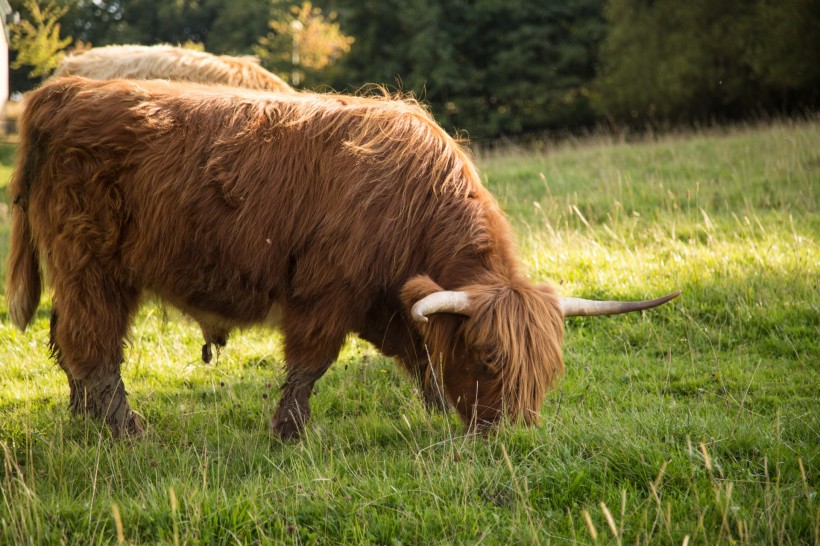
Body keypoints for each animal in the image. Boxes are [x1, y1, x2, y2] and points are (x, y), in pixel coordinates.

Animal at [6, 77, 680, 438]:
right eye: (491, 357)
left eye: (549, 367)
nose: (514, 435)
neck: (415, 203)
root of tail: (63, 91)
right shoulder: (326, 293)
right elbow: (310, 363)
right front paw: (290, 433)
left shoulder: (393, 302)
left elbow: (424, 357)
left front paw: (439, 410)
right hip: (92, 266)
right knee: (93, 345)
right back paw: (125, 430)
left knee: (68, 341)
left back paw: (83, 422)